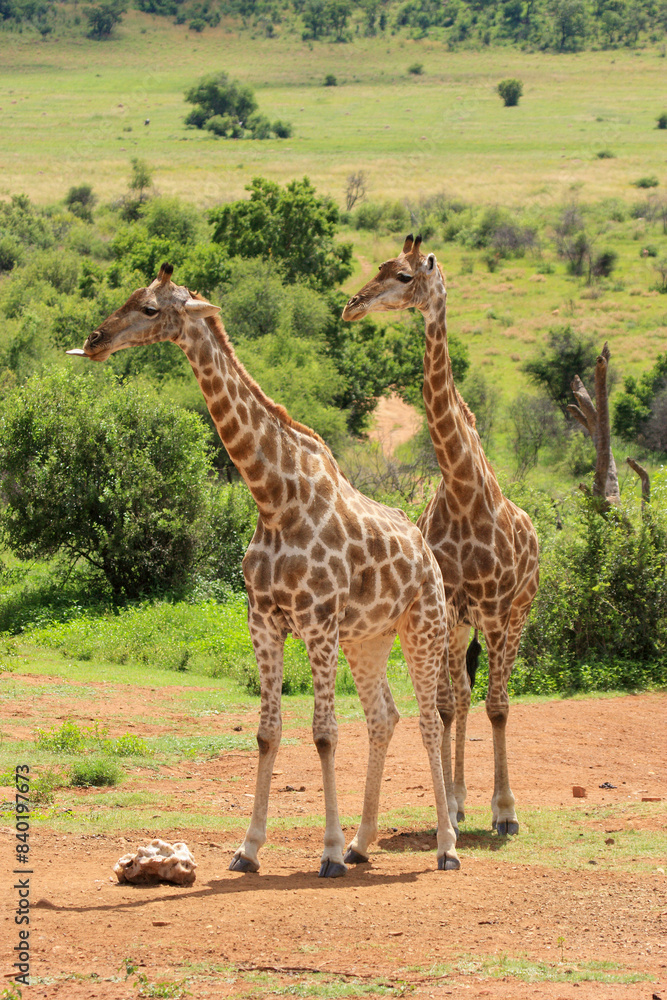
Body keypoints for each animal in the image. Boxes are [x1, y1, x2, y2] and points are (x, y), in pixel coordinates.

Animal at [67, 263, 461, 875]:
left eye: (151, 309)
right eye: (130, 296)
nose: (94, 340)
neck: (273, 496)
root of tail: (425, 549)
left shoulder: (317, 622)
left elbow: (323, 734)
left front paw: (327, 853)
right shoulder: (264, 620)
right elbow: (267, 732)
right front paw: (248, 849)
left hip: (423, 625)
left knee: (428, 719)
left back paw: (445, 845)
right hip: (367, 638)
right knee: (384, 717)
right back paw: (363, 842)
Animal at [342, 236, 539, 836]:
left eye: (405, 276)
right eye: (382, 267)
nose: (353, 305)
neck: (463, 488)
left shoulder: (495, 607)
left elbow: (499, 705)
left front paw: (505, 811)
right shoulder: (451, 606)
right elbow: (451, 703)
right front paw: (453, 804)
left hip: (518, 614)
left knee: (498, 697)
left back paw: (497, 808)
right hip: (463, 625)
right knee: (465, 694)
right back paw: (458, 800)